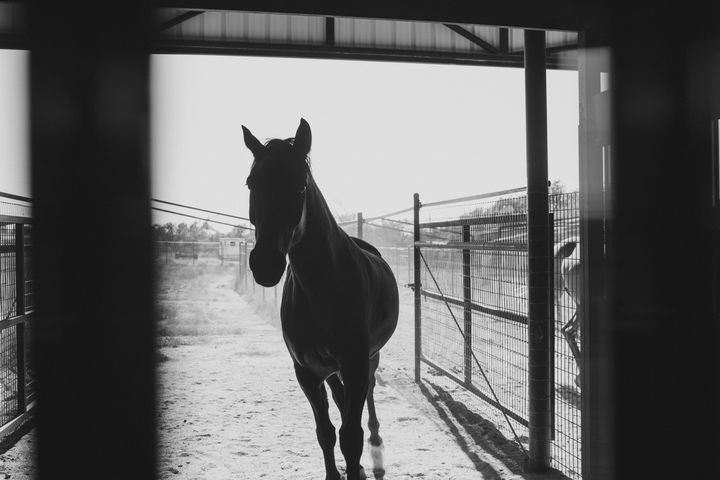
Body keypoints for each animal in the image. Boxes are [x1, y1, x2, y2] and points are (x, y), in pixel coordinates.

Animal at [242, 119, 399, 480]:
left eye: (300, 186)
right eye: (251, 183)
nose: (265, 264)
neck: (322, 289)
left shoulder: (355, 364)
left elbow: (351, 436)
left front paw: (359, 463)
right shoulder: (307, 371)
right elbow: (326, 432)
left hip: (369, 358)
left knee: (367, 397)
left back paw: (377, 446)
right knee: (342, 402)